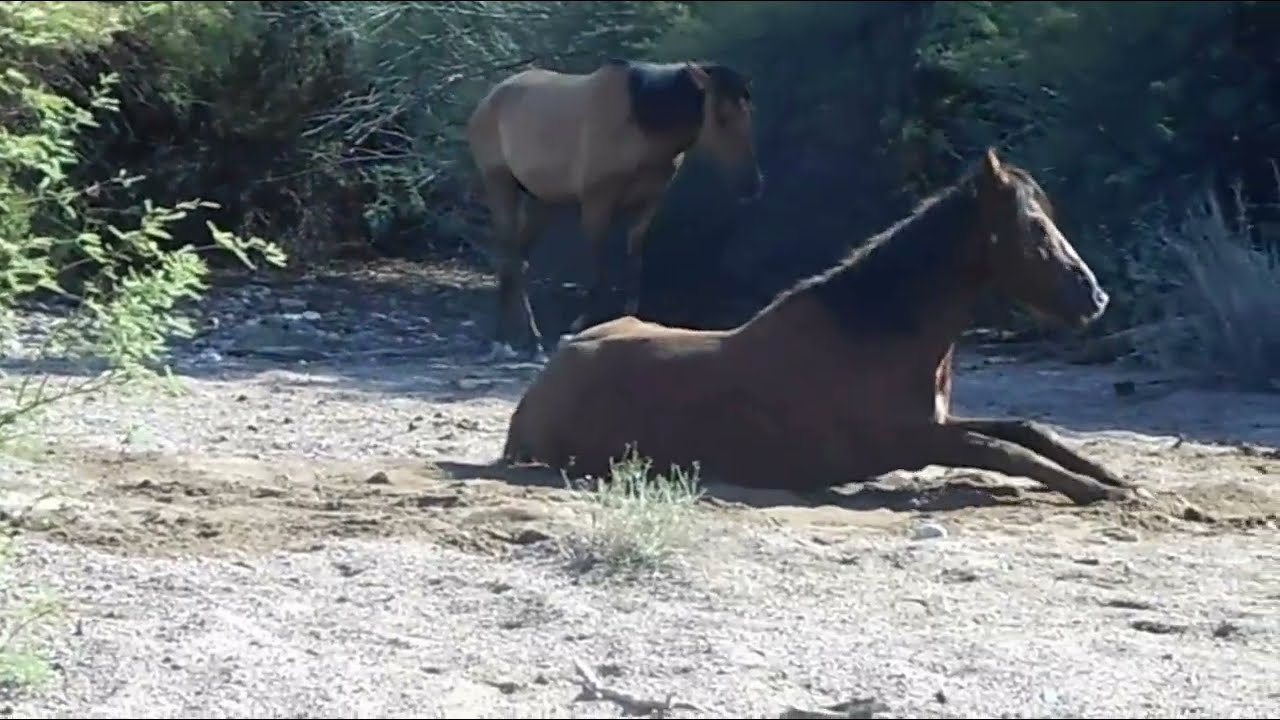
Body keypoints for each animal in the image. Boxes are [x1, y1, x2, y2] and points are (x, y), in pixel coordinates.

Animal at [465, 58, 764, 361]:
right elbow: (600, 271)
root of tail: (487, 102)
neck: (640, 125)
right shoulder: (597, 202)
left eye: (749, 113)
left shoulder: (646, 206)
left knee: (516, 259)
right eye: (722, 116)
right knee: (512, 258)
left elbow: (634, 265)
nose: (752, 185)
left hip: (542, 201)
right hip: (501, 185)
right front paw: (582, 323)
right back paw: (520, 339)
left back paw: (512, 338)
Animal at [500, 147, 1139, 507]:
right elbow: (1002, 450)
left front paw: (1112, 476)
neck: (873, 335)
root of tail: (541, 386)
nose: (1096, 298)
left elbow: (1025, 431)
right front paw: (1099, 491)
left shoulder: (936, 423)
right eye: (1034, 227)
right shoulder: (907, 439)